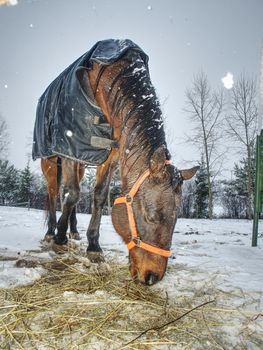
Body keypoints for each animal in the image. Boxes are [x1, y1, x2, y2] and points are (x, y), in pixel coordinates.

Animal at [37, 42, 198, 286]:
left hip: (81, 165)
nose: (152, 277)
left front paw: (93, 246)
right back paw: (51, 232)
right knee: (56, 193)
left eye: (176, 219)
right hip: (50, 161)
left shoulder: (109, 157)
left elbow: (98, 196)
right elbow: (71, 195)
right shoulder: (69, 148)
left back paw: (74, 231)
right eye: (151, 216)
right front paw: (60, 239)